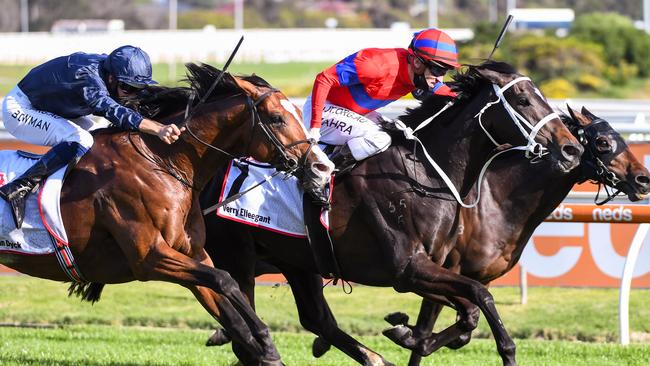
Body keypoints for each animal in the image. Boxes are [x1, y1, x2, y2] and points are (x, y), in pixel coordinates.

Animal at [0, 63, 332, 366]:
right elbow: (226, 280)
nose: (322, 167)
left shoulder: (193, 254)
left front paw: (264, 350)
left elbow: (225, 298)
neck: (163, 162)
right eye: (277, 118)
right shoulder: (150, 258)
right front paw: (263, 338)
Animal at [199, 61, 584, 364]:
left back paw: (372, 357)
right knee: (247, 331)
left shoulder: (426, 270)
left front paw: (407, 333)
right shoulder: (407, 268)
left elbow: (469, 310)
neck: (422, 173)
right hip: (237, 256)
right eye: (523, 99)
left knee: (316, 319)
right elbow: (482, 296)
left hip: (296, 258)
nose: (571, 149)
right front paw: (502, 349)